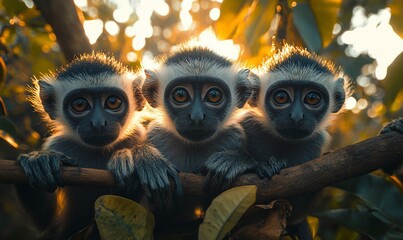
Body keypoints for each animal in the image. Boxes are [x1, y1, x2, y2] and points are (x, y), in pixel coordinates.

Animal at [15, 52, 181, 238]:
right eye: (80, 104)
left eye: (113, 102)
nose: (98, 123)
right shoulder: (58, 145)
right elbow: (45, 220)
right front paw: (38, 161)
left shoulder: (138, 136)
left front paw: (141, 158)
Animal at [243, 44, 354, 239]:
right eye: (281, 97)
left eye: (312, 98)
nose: (296, 116)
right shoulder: (248, 125)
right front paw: (262, 166)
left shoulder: (316, 143)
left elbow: (297, 211)